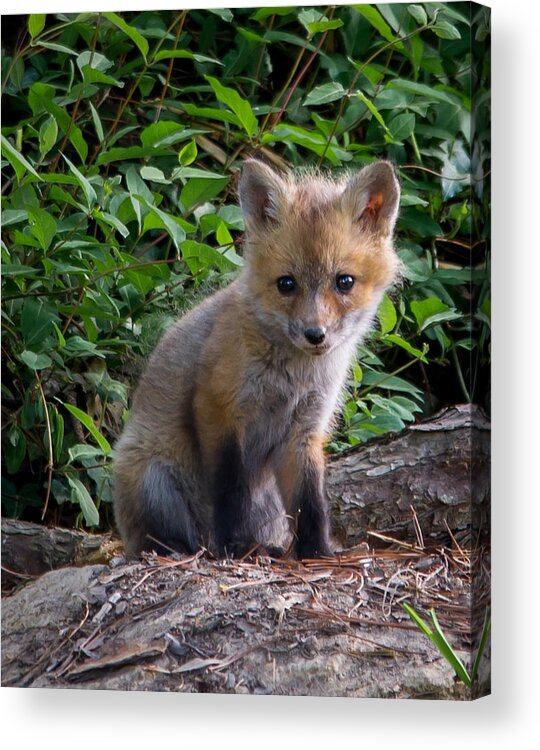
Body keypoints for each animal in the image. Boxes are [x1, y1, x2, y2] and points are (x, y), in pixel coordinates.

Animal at [114, 160, 400, 560]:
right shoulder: (218, 409)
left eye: (344, 282)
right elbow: (230, 492)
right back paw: (186, 548)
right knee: (164, 539)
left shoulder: (304, 430)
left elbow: (310, 504)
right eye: (286, 284)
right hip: (153, 476)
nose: (315, 334)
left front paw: (316, 551)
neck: (293, 377)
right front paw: (234, 546)